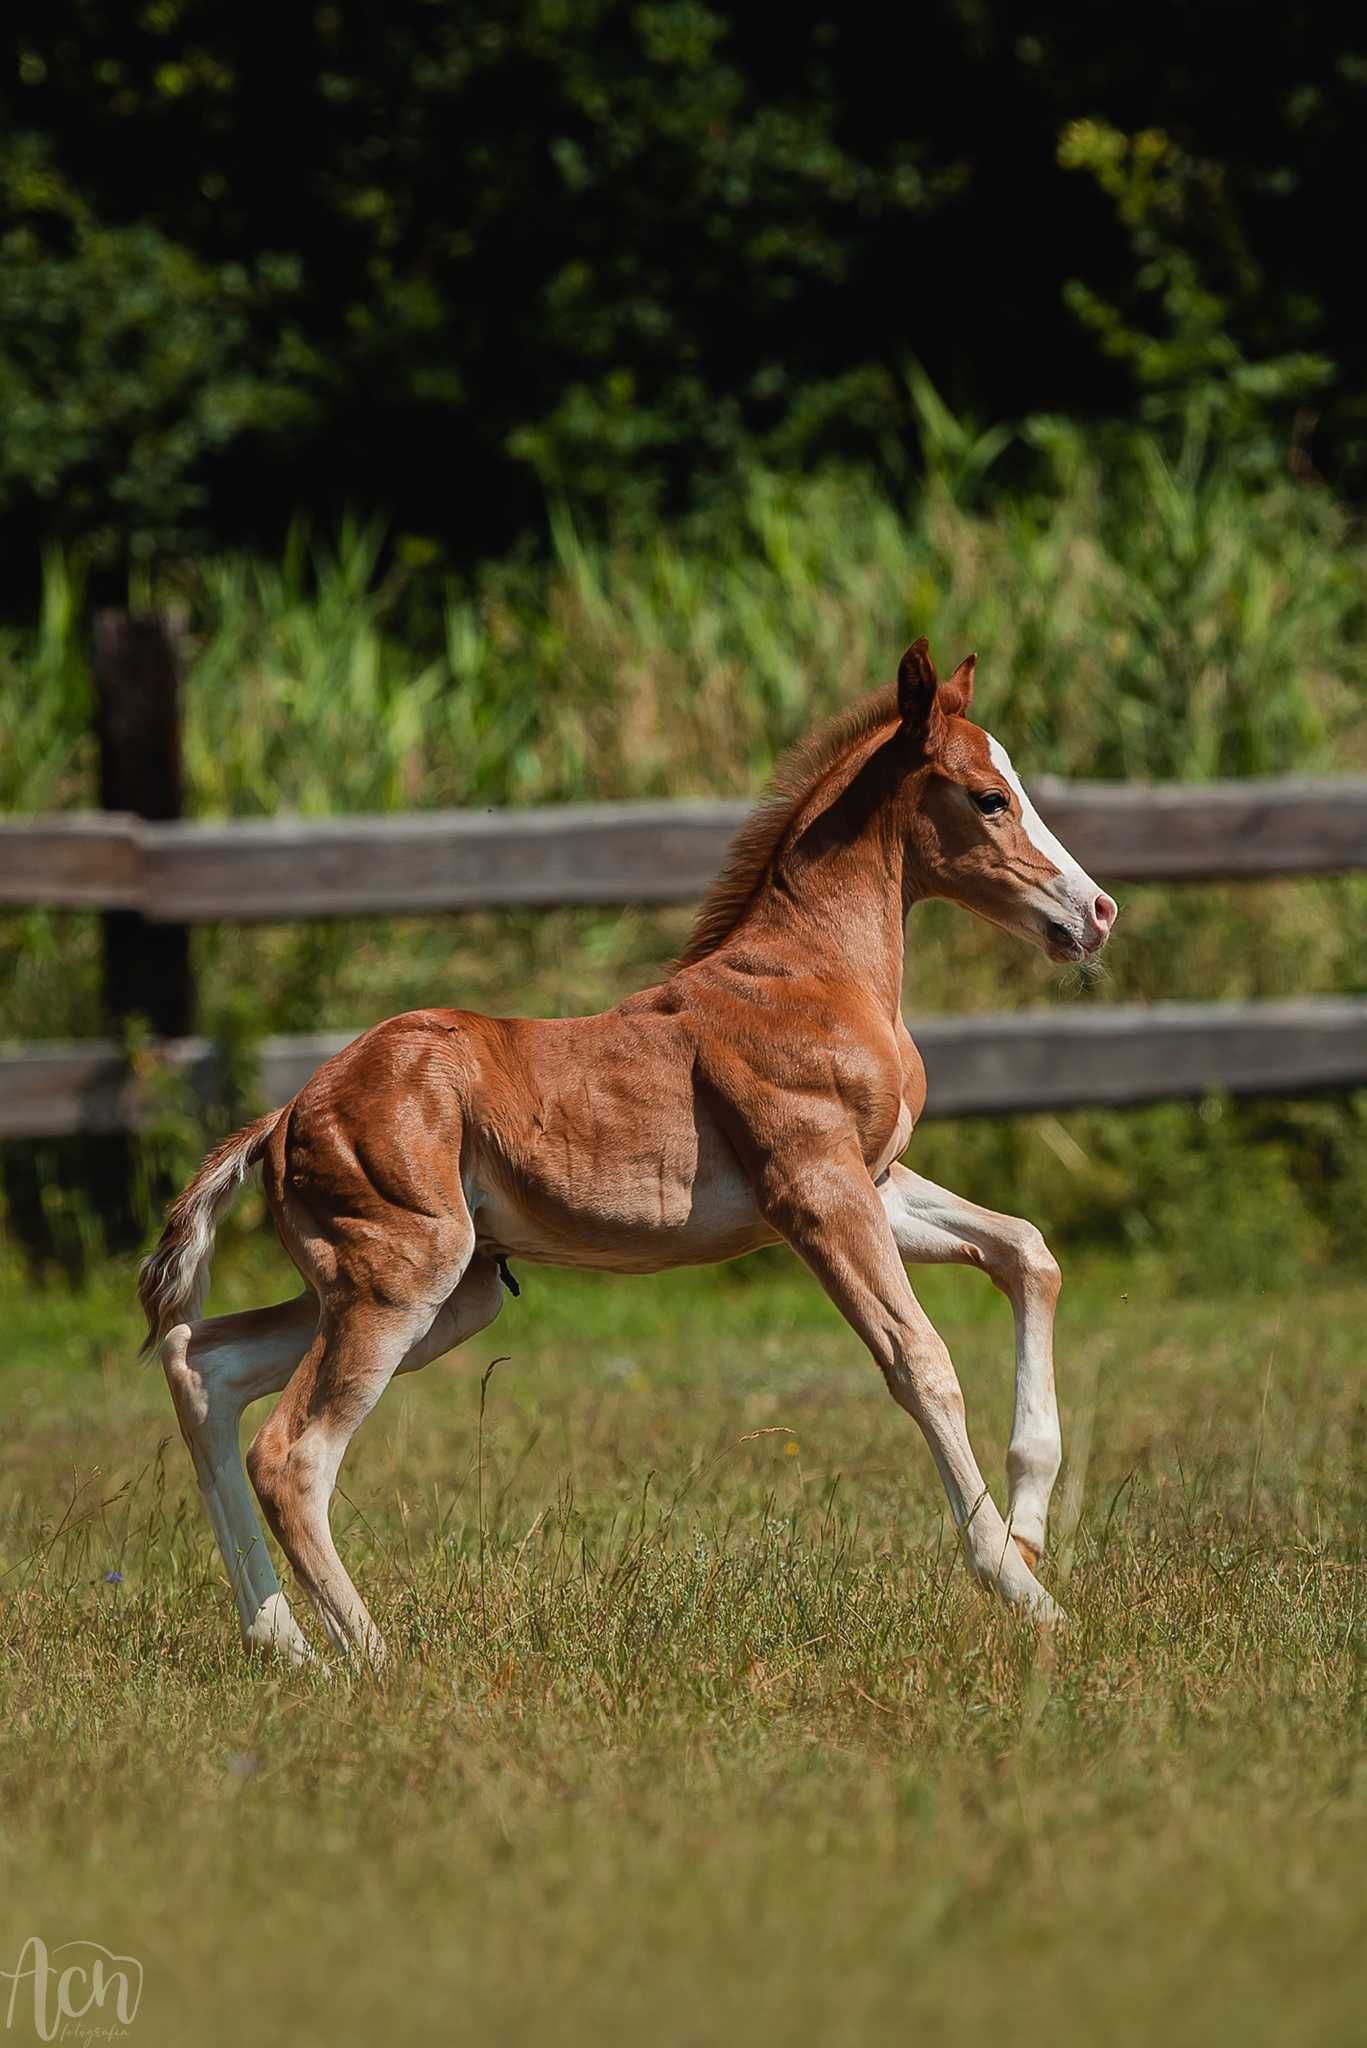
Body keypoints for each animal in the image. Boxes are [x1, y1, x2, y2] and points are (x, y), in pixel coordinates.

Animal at [139, 638, 1114, 1662]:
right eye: (989, 797)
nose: (1097, 912)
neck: (816, 974)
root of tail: (284, 1115)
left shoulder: (873, 1183)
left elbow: (1026, 1251)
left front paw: (1032, 1524)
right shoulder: (815, 1191)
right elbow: (919, 1359)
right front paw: (1022, 1589)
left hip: (435, 1292)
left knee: (201, 1362)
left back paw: (284, 1646)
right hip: (399, 1279)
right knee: (289, 1454)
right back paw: (375, 1663)